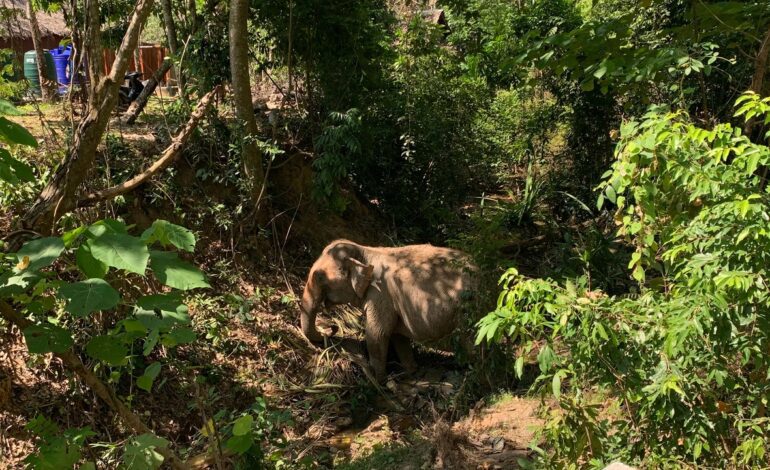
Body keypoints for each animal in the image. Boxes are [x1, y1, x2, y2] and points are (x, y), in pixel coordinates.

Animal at [298, 239, 474, 382]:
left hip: (466, 312)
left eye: (319, 276)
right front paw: (411, 372)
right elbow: (397, 335)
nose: (332, 327)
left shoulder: (380, 294)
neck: (365, 251)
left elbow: (377, 334)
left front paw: (378, 380)